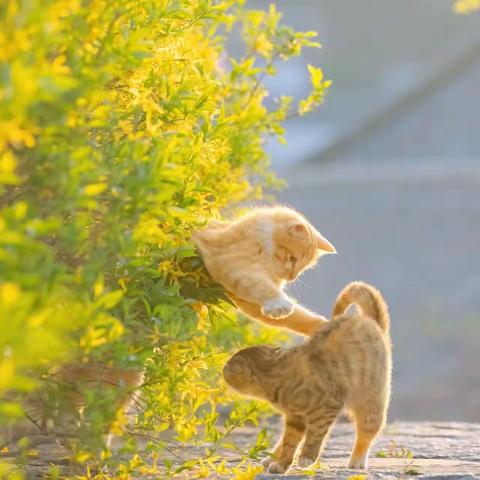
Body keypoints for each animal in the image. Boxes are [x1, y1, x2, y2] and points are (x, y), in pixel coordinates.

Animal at [193, 206, 336, 322]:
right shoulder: (231, 263)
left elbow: (299, 319)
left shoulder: (247, 300)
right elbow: (261, 285)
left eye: (302, 268)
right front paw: (280, 305)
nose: (291, 277)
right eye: (293, 258)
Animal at [223, 282, 392, 472]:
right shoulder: (295, 418)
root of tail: (369, 321)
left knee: (367, 433)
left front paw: (306, 458)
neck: (278, 373)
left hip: (370, 402)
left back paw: (357, 461)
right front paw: (282, 465)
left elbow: (314, 436)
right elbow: (290, 442)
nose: (222, 368)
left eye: (227, 369)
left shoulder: (326, 408)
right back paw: (270, 459)